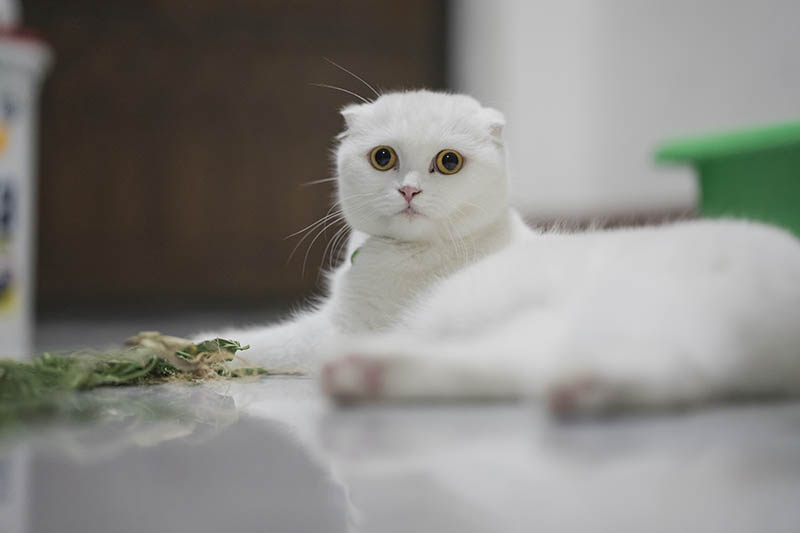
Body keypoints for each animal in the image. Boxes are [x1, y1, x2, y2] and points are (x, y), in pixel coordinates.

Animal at [197, 90, 800, 416]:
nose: (409, 190)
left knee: (662, 368)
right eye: (383, 157)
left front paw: (197, 346)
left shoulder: (338, 329)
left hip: (617, 313)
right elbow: (266, 339)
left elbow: (268, 339)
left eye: (448, 162)